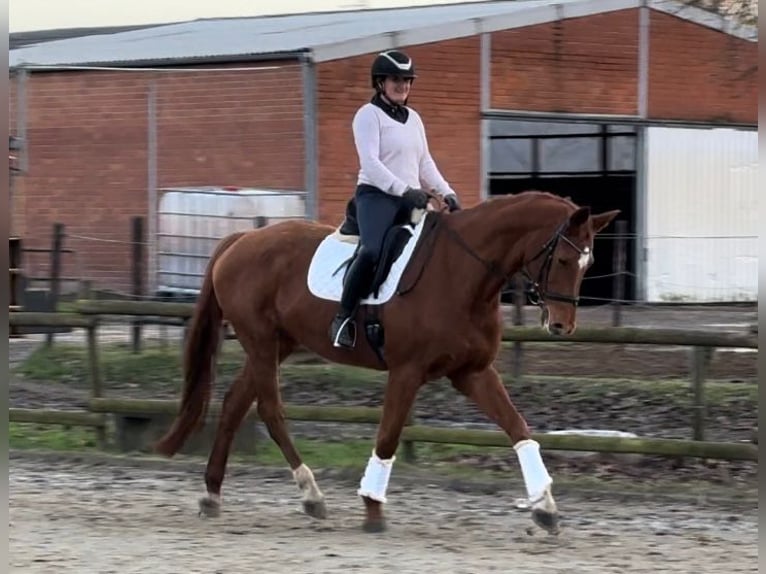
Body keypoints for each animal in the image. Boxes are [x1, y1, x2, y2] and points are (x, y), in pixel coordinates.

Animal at [153, 192, 620, 536]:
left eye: (589, 263)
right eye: (564, 260)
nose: (561, 325)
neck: (462, 274)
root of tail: (240, 241)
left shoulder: (471, 373)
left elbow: (518, 428)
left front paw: (545, 508)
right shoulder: (407, 371)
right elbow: (389, 436)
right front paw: (372, 508)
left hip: (276, 344)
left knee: (236, 402)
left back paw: (213, 494)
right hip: (262, 342)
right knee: (269, 409)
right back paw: (311, 495)